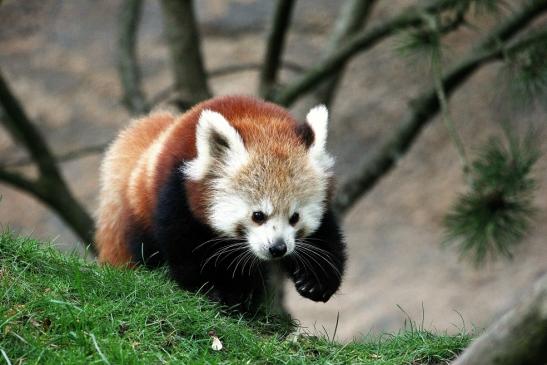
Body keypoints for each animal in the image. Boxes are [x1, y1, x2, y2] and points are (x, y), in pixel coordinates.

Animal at [96, 95, 346, 312]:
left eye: (295, 217)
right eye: (258, 215)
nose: (278, 248)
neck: (255, 117)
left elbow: (325, 237)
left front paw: (316, 281)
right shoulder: (176, 190)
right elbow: (185, 247)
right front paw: (216, 290)